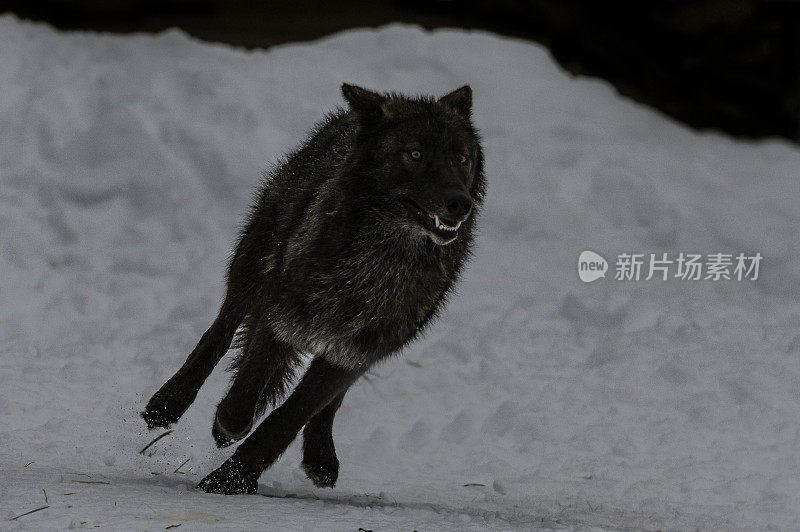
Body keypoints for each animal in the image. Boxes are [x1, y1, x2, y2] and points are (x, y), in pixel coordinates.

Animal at [141, 82, 484, 494]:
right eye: (415, 153)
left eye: (462, 158)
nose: (461, 204)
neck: (382, 259)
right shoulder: (282, 319)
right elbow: (246, 391)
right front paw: (227, 427)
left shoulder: (357, 351)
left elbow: (289, 419)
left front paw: (232, 479)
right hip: (253, 260)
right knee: (222, 328)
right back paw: (169, 402)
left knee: (328, 401)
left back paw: (321, 456)